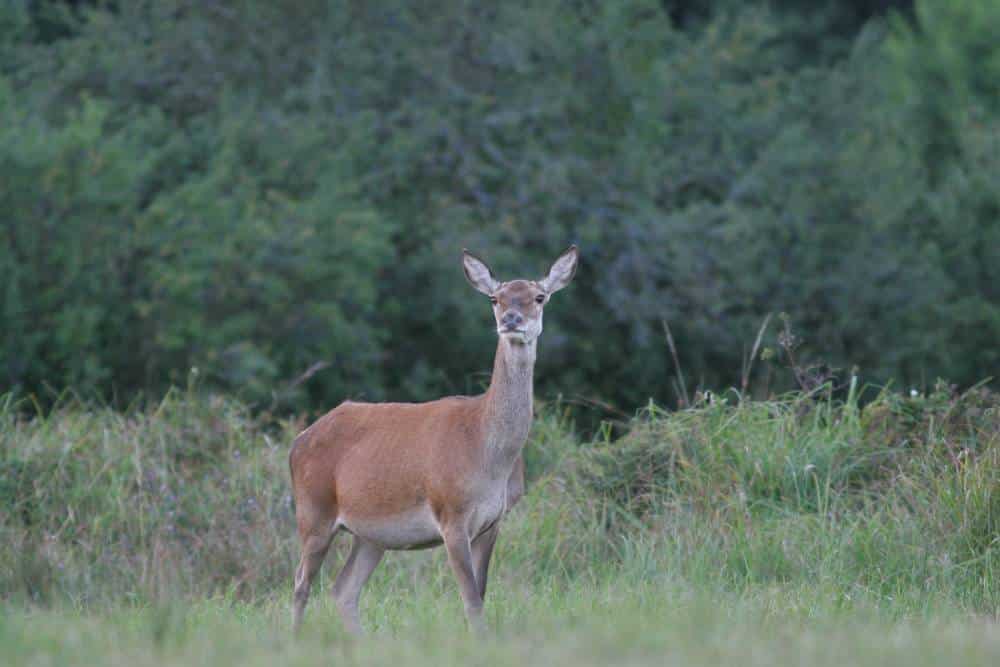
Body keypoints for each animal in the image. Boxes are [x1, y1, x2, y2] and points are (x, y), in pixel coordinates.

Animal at [288, 245, 579, 634]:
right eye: (495, 298)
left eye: (539, 296)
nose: (511, 319)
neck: (488, 454)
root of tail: (298, 442)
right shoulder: (451, 514)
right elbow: (471, 599)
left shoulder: (494, 520)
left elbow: (481, 594)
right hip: (314, 510)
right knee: (301, 583)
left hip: (371, 534)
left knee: (342, 589)